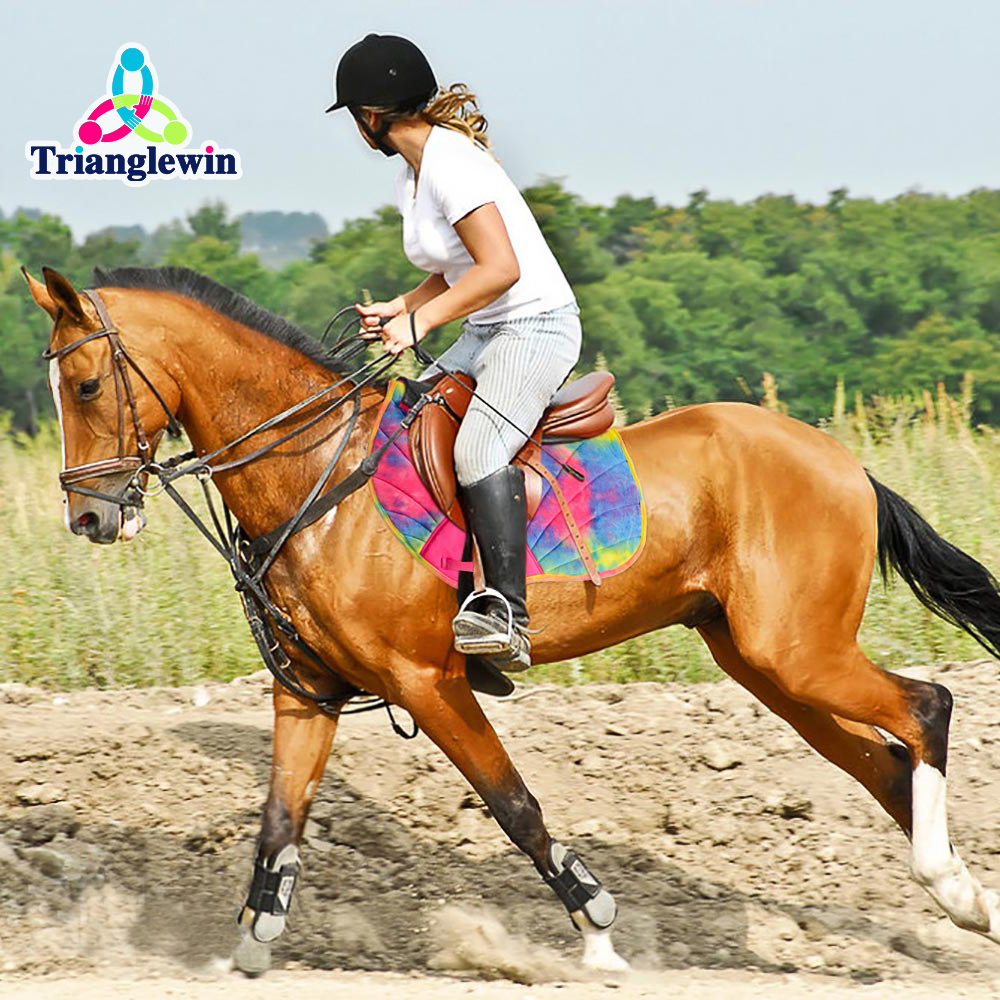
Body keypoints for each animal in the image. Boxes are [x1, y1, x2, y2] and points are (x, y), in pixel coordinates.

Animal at [23, 263, 1000, 975]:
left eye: (85, 385)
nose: (88, 519)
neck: (312, 475)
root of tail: (843, 461)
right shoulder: (308, 694)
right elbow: (278, 822)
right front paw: (249, 949)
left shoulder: (429, 681)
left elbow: (514, 806)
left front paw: (599, 933)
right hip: (763, 663)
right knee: (885, 763)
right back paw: (964, 902)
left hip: (795, 651)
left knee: (929, 708)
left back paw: (948, 884)